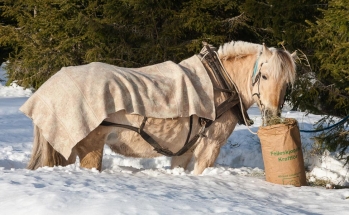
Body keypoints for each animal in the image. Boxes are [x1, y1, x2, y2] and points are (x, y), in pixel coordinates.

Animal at [25, 40, 294, 175]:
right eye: (264, 76)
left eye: (288, 83)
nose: (273, 116)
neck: (221, 81)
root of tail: (50, 86)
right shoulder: (210, 146)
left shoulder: (185, 150)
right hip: (89, 146)